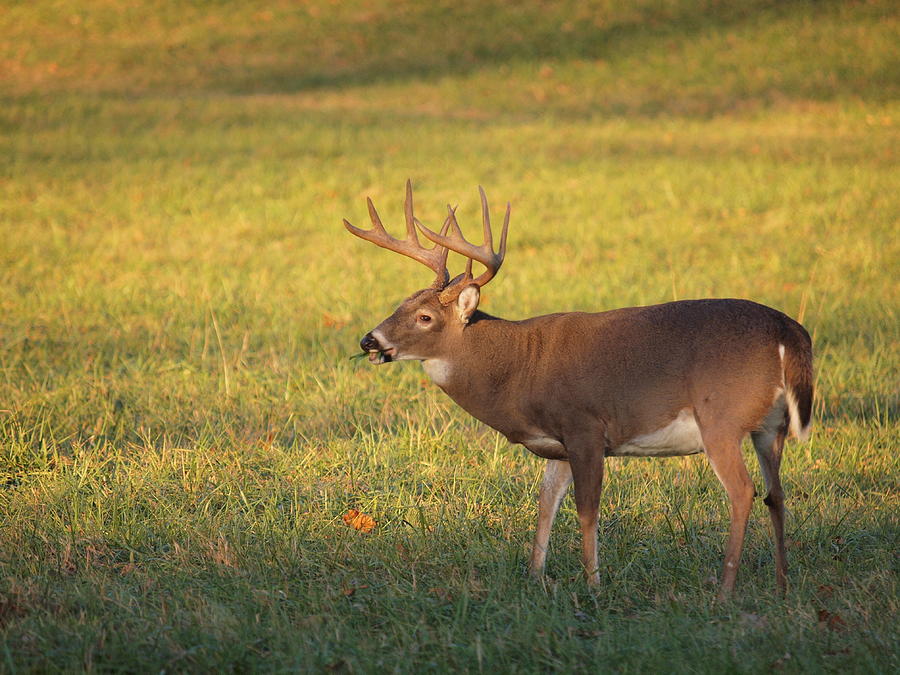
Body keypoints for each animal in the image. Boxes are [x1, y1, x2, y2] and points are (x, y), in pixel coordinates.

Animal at [342, 181, 808, 604]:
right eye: (400, 304)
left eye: (424, 317)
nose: (369, 340)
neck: (519, 369)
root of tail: (789, 332)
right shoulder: (559, 444)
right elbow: (545, 505)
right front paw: (534, 578)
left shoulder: (585, 426)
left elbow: (587, 511)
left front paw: (593, 585)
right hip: (770, 426)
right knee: (776, 493)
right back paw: (783, 586)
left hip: (721, 419)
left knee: (743, 492)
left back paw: (724, 593)